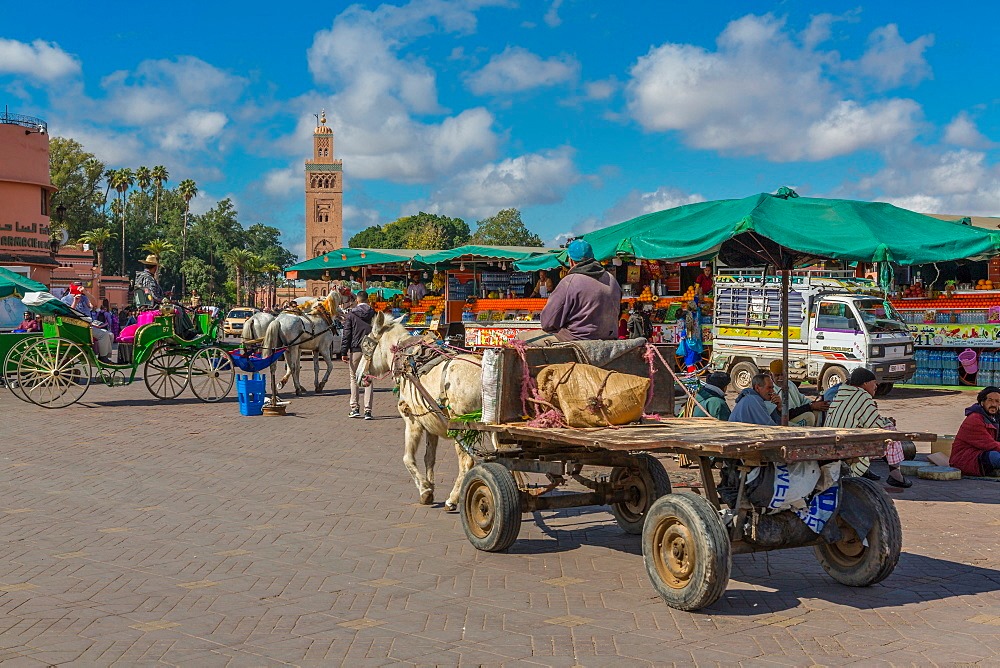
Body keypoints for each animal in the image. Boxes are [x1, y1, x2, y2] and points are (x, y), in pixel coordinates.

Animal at [358, 310, 482, 508]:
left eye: (365, 347)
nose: (358, 375)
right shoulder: (431, 424)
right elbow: (429, 458)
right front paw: (430, 487)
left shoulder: (413, 421)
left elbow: (407, 458)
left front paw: (424, 490)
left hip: (461, 426)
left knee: (467, 461)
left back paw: (453, 499)